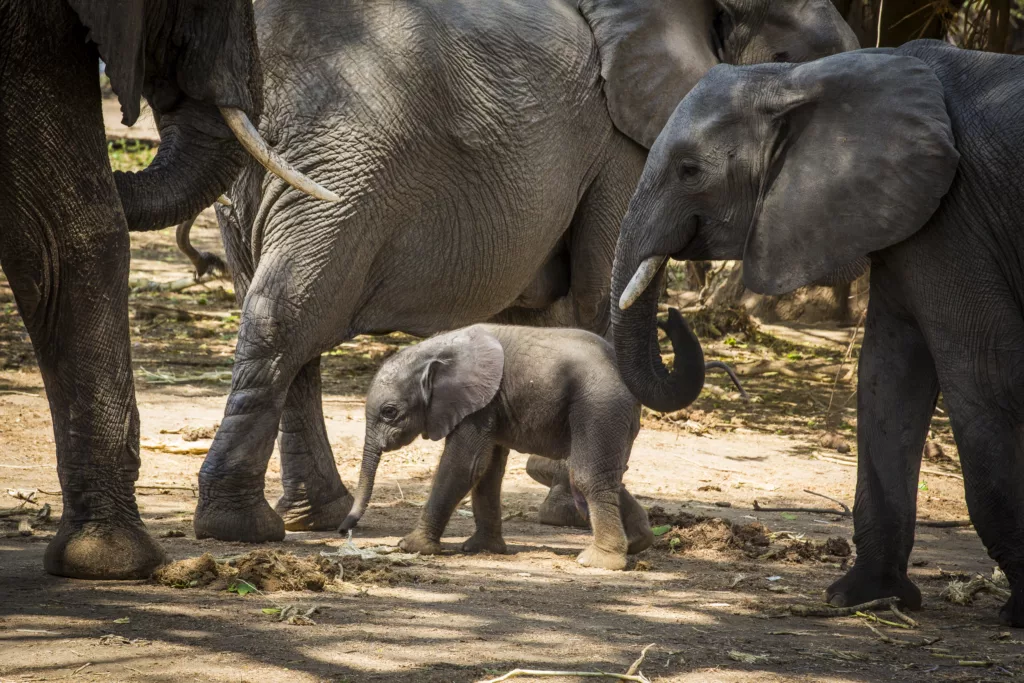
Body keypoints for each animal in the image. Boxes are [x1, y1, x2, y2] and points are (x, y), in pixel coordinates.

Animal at [192, 0, 856, 540]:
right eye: (790, 64)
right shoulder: (622, 144)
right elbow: (594, 297)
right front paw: (571, 508)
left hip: (270, 172)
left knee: (280, 318)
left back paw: (304, 519)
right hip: (347, 164)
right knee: (290, 316)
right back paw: (242, 529)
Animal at [342, 323, 745, 569]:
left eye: (390, 412)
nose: (346, 528)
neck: (437, 349)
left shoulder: (480, 403)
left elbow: (464, 465)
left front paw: (410, 547)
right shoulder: (493, 404)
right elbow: (487, 470)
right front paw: (482, 549)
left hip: (600, 403)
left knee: (587, 475)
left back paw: (598, 562)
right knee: (605, 476)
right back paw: (637, 543)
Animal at [606, 41, 1024, 626]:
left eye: (689, 170)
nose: (672, 314)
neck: (803, 77)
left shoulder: (956, 219)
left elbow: (984, 380)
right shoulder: (910, 218)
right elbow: (888, 378)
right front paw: (863, 597)